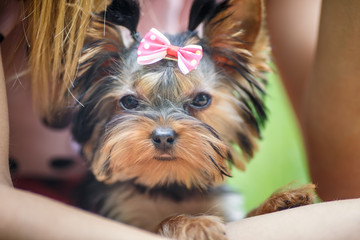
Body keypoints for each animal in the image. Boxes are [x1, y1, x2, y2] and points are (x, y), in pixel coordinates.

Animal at [71, 0, 314, 240]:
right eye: (129, 102)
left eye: (201, 99)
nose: (163, 137)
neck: (169, 184)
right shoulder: (122, 213)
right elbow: (159, 223)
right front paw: (194, 223)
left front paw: (279, 201)